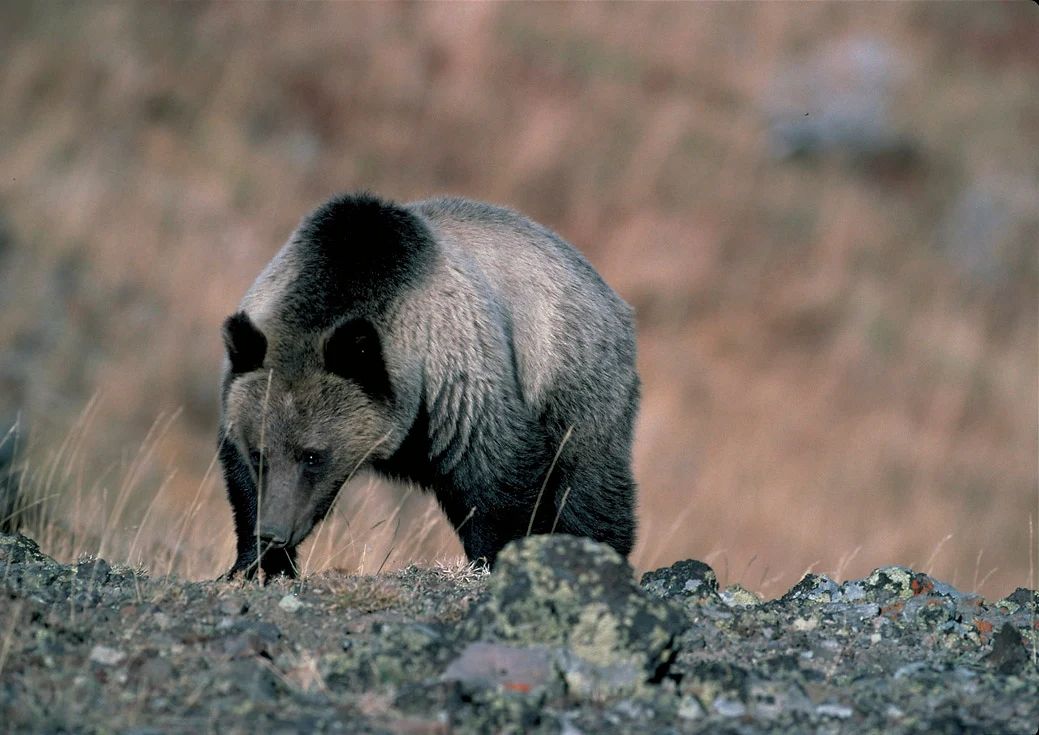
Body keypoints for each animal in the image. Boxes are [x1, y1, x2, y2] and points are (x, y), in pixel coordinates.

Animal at [218, 193, 639, 580]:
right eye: (259, 453)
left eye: (312, 455)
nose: (274, 532)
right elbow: (241, 485)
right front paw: (255, 565)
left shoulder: (458, 379)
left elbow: (497, 479)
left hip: (571, 373)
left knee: (587, 482)